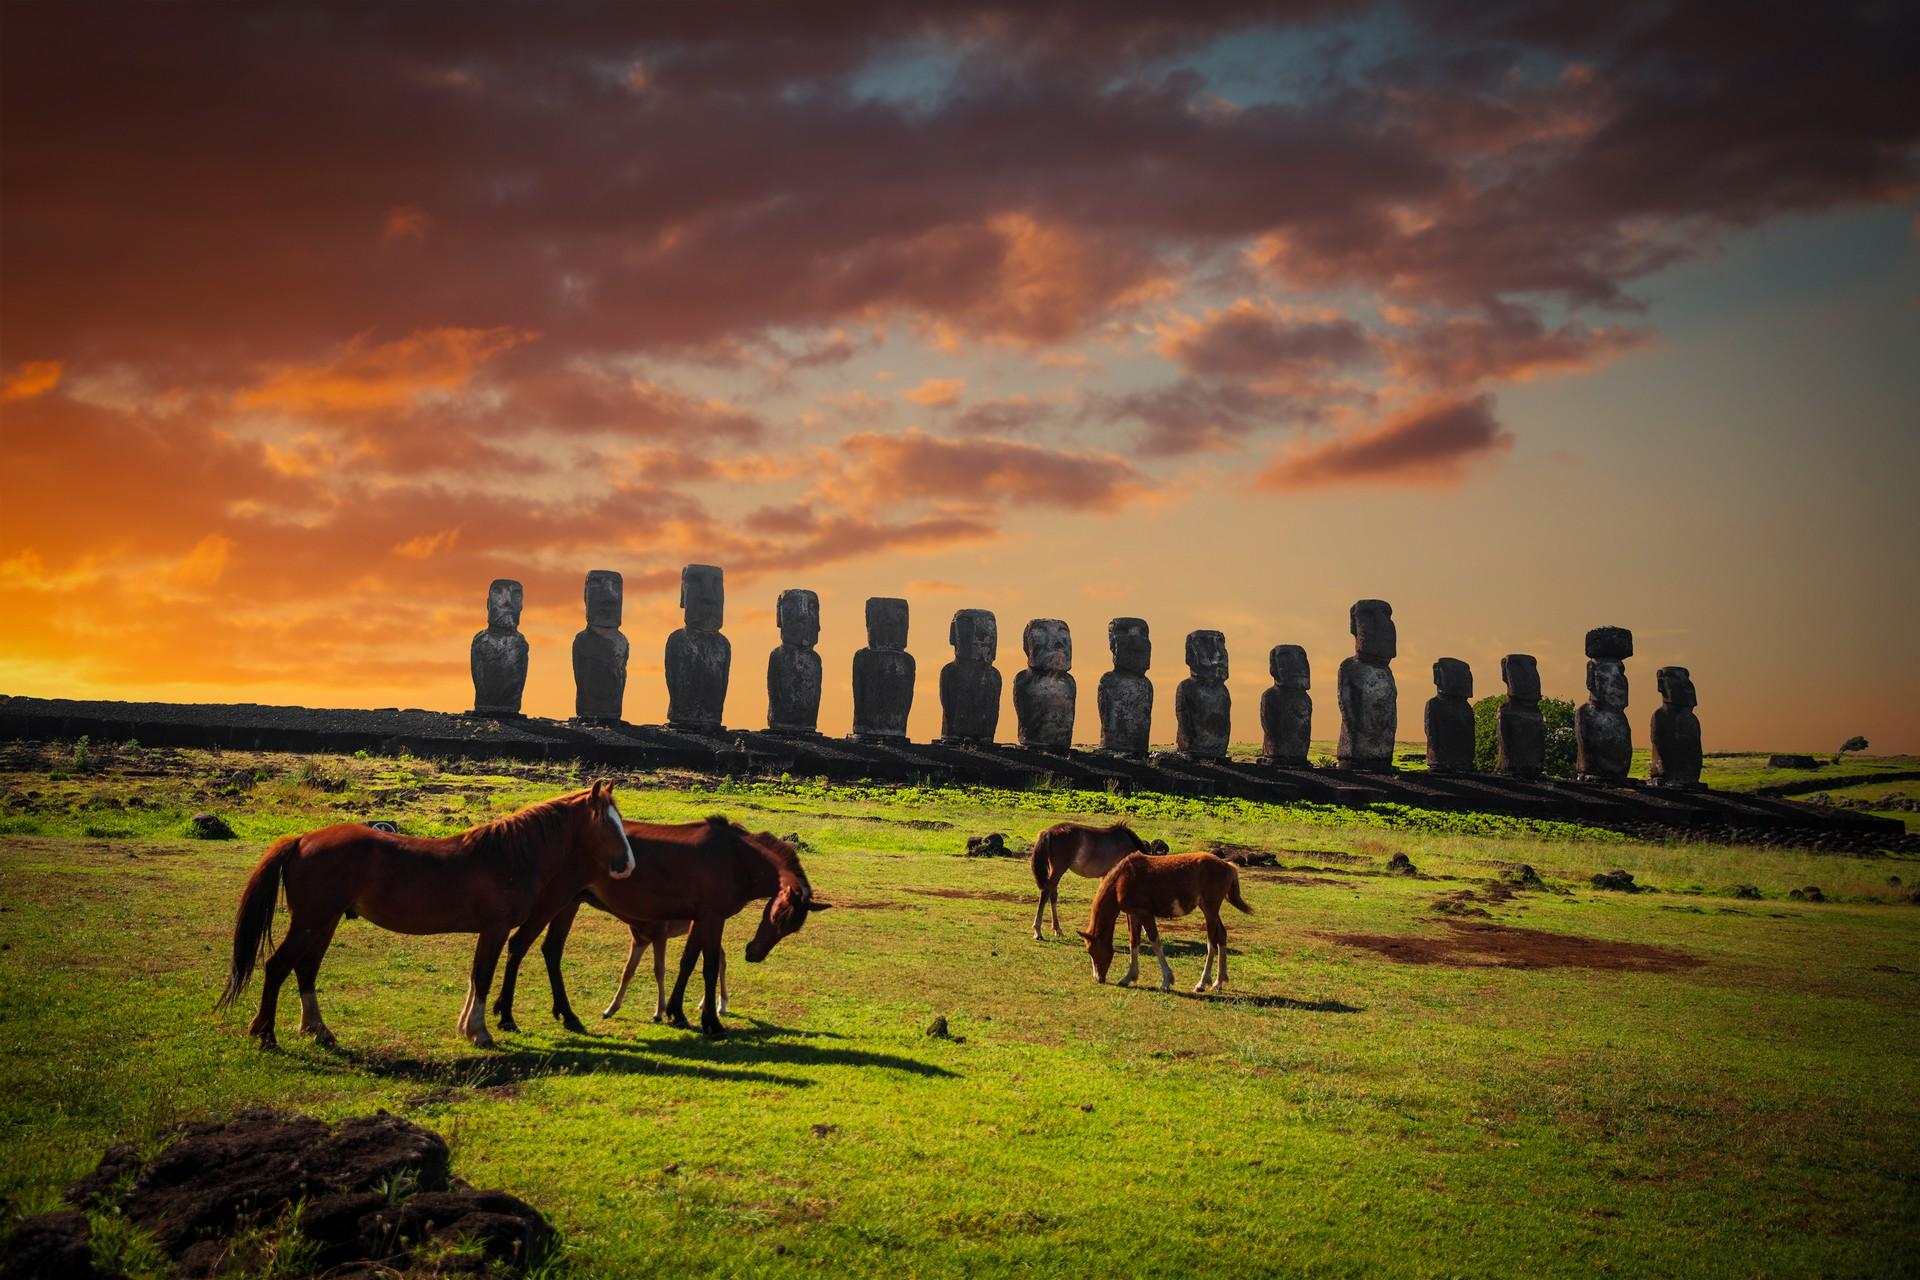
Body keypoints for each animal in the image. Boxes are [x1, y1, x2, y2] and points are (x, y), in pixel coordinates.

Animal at [216, 782, 637, 1051]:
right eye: (607, 822)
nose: (628, 865)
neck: (509, 854)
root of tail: (302, 839)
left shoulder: (490, 932)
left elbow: (475, 977)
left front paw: (467, 1027)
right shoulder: (496, 929)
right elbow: (482, 977)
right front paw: (480, 1032)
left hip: (324, 922)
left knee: (305, 970)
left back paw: (318, 1030)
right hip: (311, 921)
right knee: (277, 966)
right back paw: (266, 1034)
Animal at [495, 821, 825, 1043]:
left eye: (792, 928)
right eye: (779, 915)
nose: (753, 953)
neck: (737, 858)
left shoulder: (700, 919)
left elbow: (687, 962)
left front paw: (676, 1012)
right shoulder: (712, 917)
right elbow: (707, 966)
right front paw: (711, 1022)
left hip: (569, 903)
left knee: (551, 950)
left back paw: (568, 1015)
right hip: (553, 902)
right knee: (519, 945)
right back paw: (507, 1017)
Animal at [1029, 821, 1159, 940]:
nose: (1149, 932)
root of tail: (1049, 832)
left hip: (1055, 869)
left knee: (1052, 894)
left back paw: (1057, 929)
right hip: (1059, 869)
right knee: (1046, 892)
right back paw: (1038, 931)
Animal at [1090, 855, 1251, 997]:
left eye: (1092, 951)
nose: (1098, 978)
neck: (1122, 879)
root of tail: (1227, 865)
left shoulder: (1145, 914)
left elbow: (1155, 943)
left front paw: (1166, 982)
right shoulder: (1133, 915)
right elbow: (1134, 943)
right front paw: (1128, 977)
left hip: (1210, 910)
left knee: (1211, 944)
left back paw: (1201, 984)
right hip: (1210, 910)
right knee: (1221, 936)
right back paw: (1218, 982)